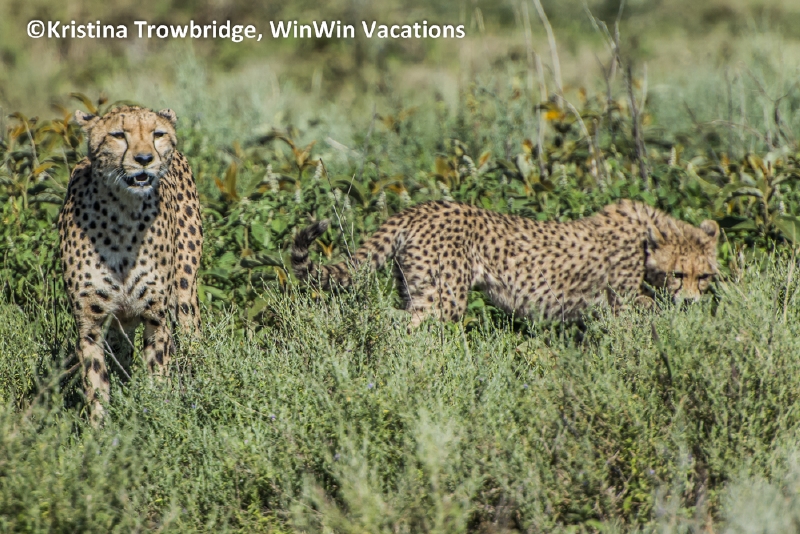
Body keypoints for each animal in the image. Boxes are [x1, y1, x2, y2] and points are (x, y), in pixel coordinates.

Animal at [58, 105, 203, 424]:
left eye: (157, 134)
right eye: (118, 135)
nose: (145, 159)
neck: (123, 213)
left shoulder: (156, 318)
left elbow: (158, 375)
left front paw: (158, 417)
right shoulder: (90, 325)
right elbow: (95, 382)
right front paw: (100, 429)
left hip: (185, 295)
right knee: (121, 353)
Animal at [291, 199, 719, 327]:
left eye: (705, 277)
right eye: (678, 274)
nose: (691, 303)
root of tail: (419, 207)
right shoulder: (623, 301)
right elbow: (646, 311)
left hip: (414, 286)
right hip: (443, 299)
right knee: (404, 327)